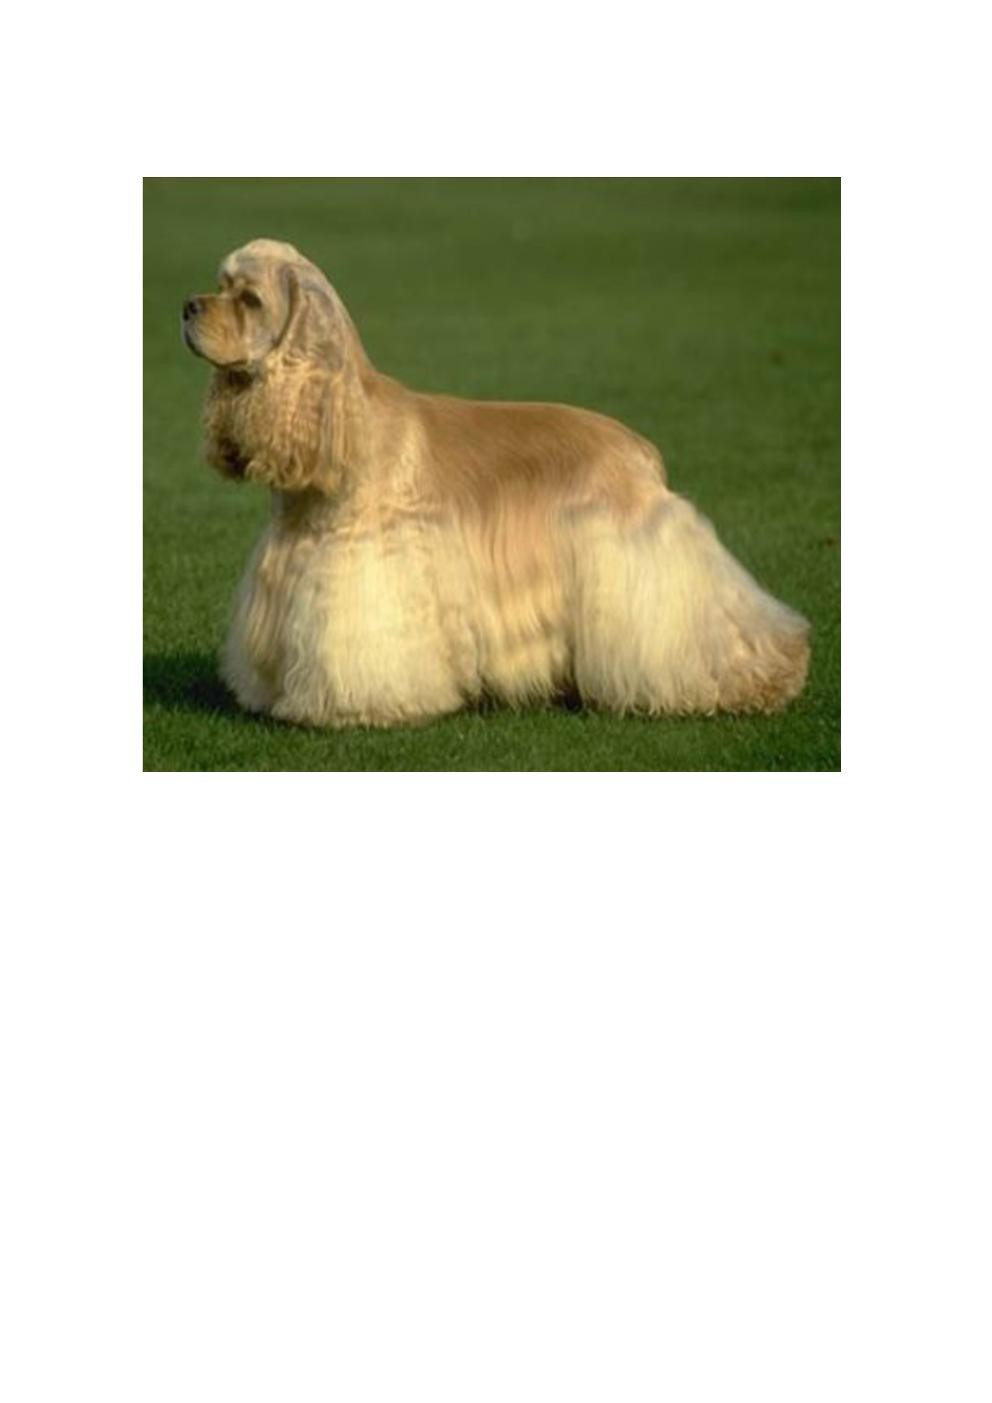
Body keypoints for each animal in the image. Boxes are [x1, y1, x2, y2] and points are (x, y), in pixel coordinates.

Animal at [182, 238, 809, 728]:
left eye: (249, 300)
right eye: (219, 284)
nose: (187, 305)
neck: (340, 415)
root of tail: (639, 450)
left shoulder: (368, 569)